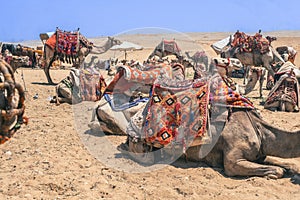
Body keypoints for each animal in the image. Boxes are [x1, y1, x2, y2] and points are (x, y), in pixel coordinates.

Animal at [117, 58, 300, 183]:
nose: (239, 64)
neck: (259, 129)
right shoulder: (233, 160)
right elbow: (277, 170)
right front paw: (274, 173)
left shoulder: (260, 154)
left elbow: (290, 165)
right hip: (142, 148)